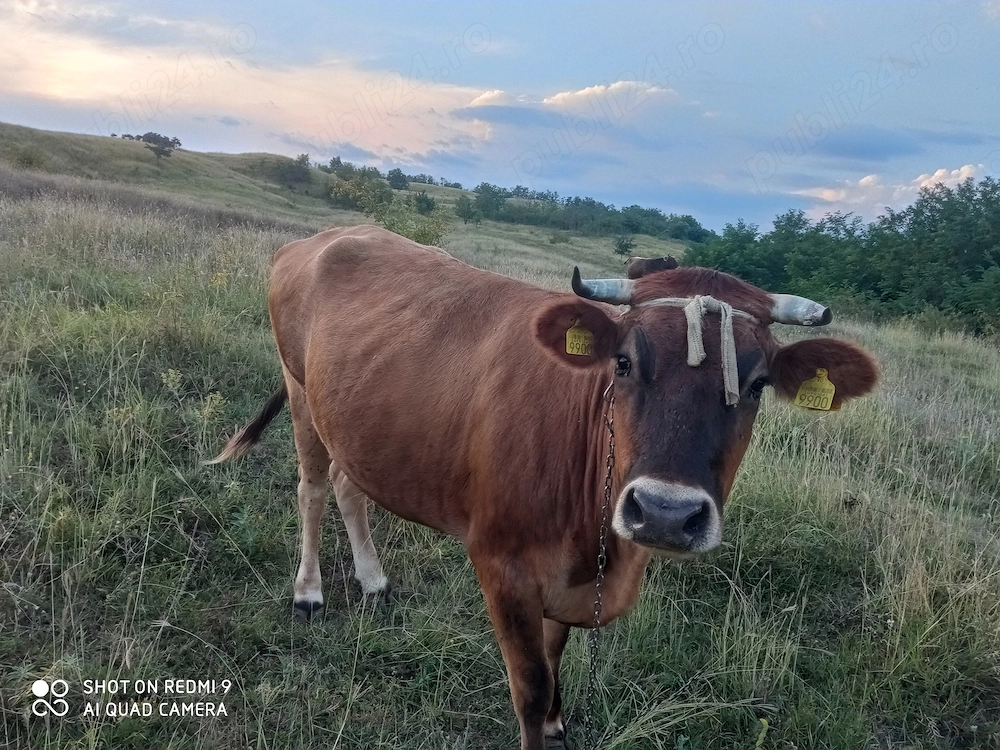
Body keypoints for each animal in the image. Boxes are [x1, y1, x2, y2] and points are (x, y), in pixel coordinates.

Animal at [210, 225, 879, 750]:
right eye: (623, 362)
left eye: (758, 383)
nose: (665, 512)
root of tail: (319, 239)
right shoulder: (501, 564)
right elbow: (530, 686)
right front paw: (542, 720)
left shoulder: (571, 577)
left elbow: (557, 661)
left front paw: (560, 724)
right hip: (300, 389)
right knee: (311, 489)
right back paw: (309, 590)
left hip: (354, 416)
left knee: (349, 485)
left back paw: (373, 579)